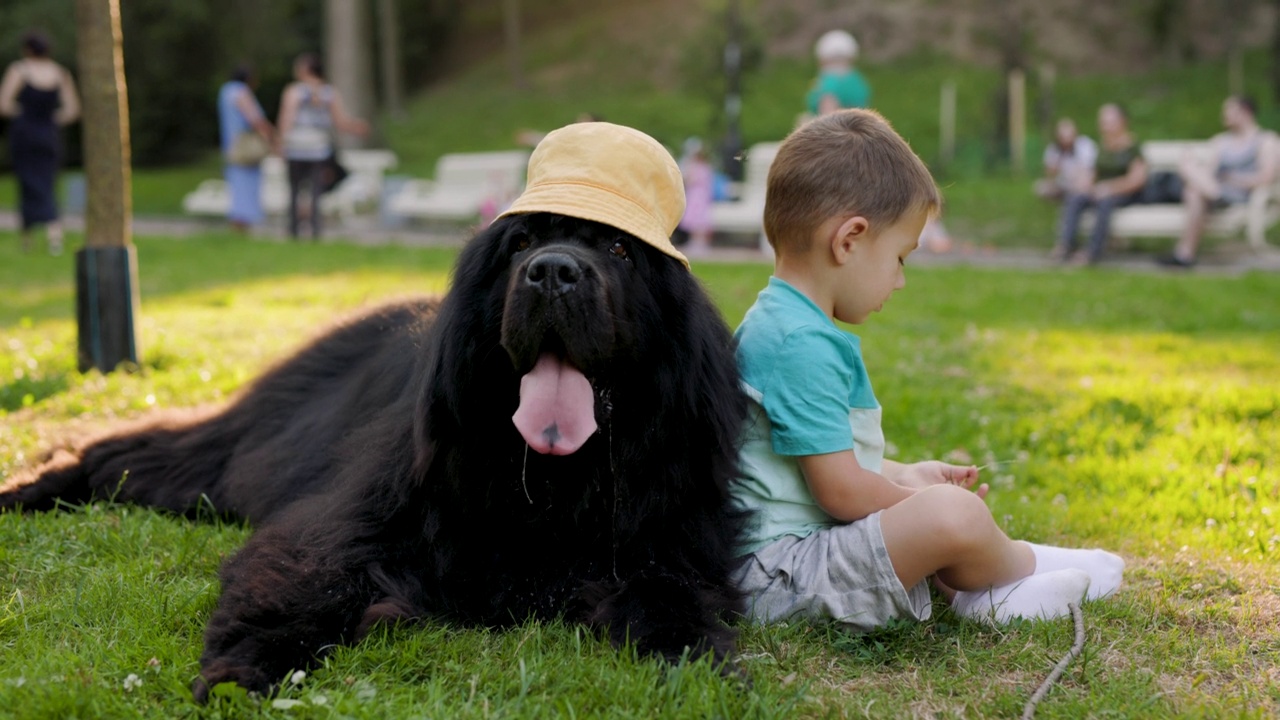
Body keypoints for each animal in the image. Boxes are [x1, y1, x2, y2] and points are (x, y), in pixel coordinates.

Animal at [0, 121, 747, 696]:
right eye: (522, 244)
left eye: (618, 248)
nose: (554, 271)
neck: (555, 476)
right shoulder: (355, 522)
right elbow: (310, 577)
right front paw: (244, 666)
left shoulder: (667, 537)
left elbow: (668, 591)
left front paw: (690, 654)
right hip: (234, 456)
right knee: (124, 455)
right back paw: (28, 488)